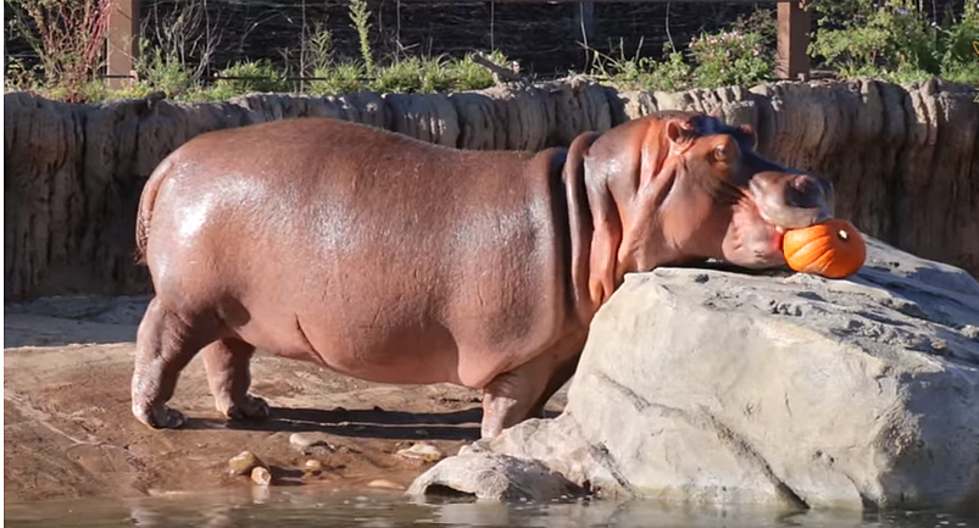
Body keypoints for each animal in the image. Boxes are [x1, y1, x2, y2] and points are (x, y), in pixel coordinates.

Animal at [130, 110, 836, 438]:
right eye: (718, 154)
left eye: (747, 131)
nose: (811, 181)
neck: (602, 204)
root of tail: (171, 162)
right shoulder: (519, 350)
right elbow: (509, 408)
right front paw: (494, 448)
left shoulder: (561, 345)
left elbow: (535, 405)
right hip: (188, 299)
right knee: (160, 343)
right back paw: (160, 418)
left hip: (235, 308)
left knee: (228, 355)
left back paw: (252, 412)